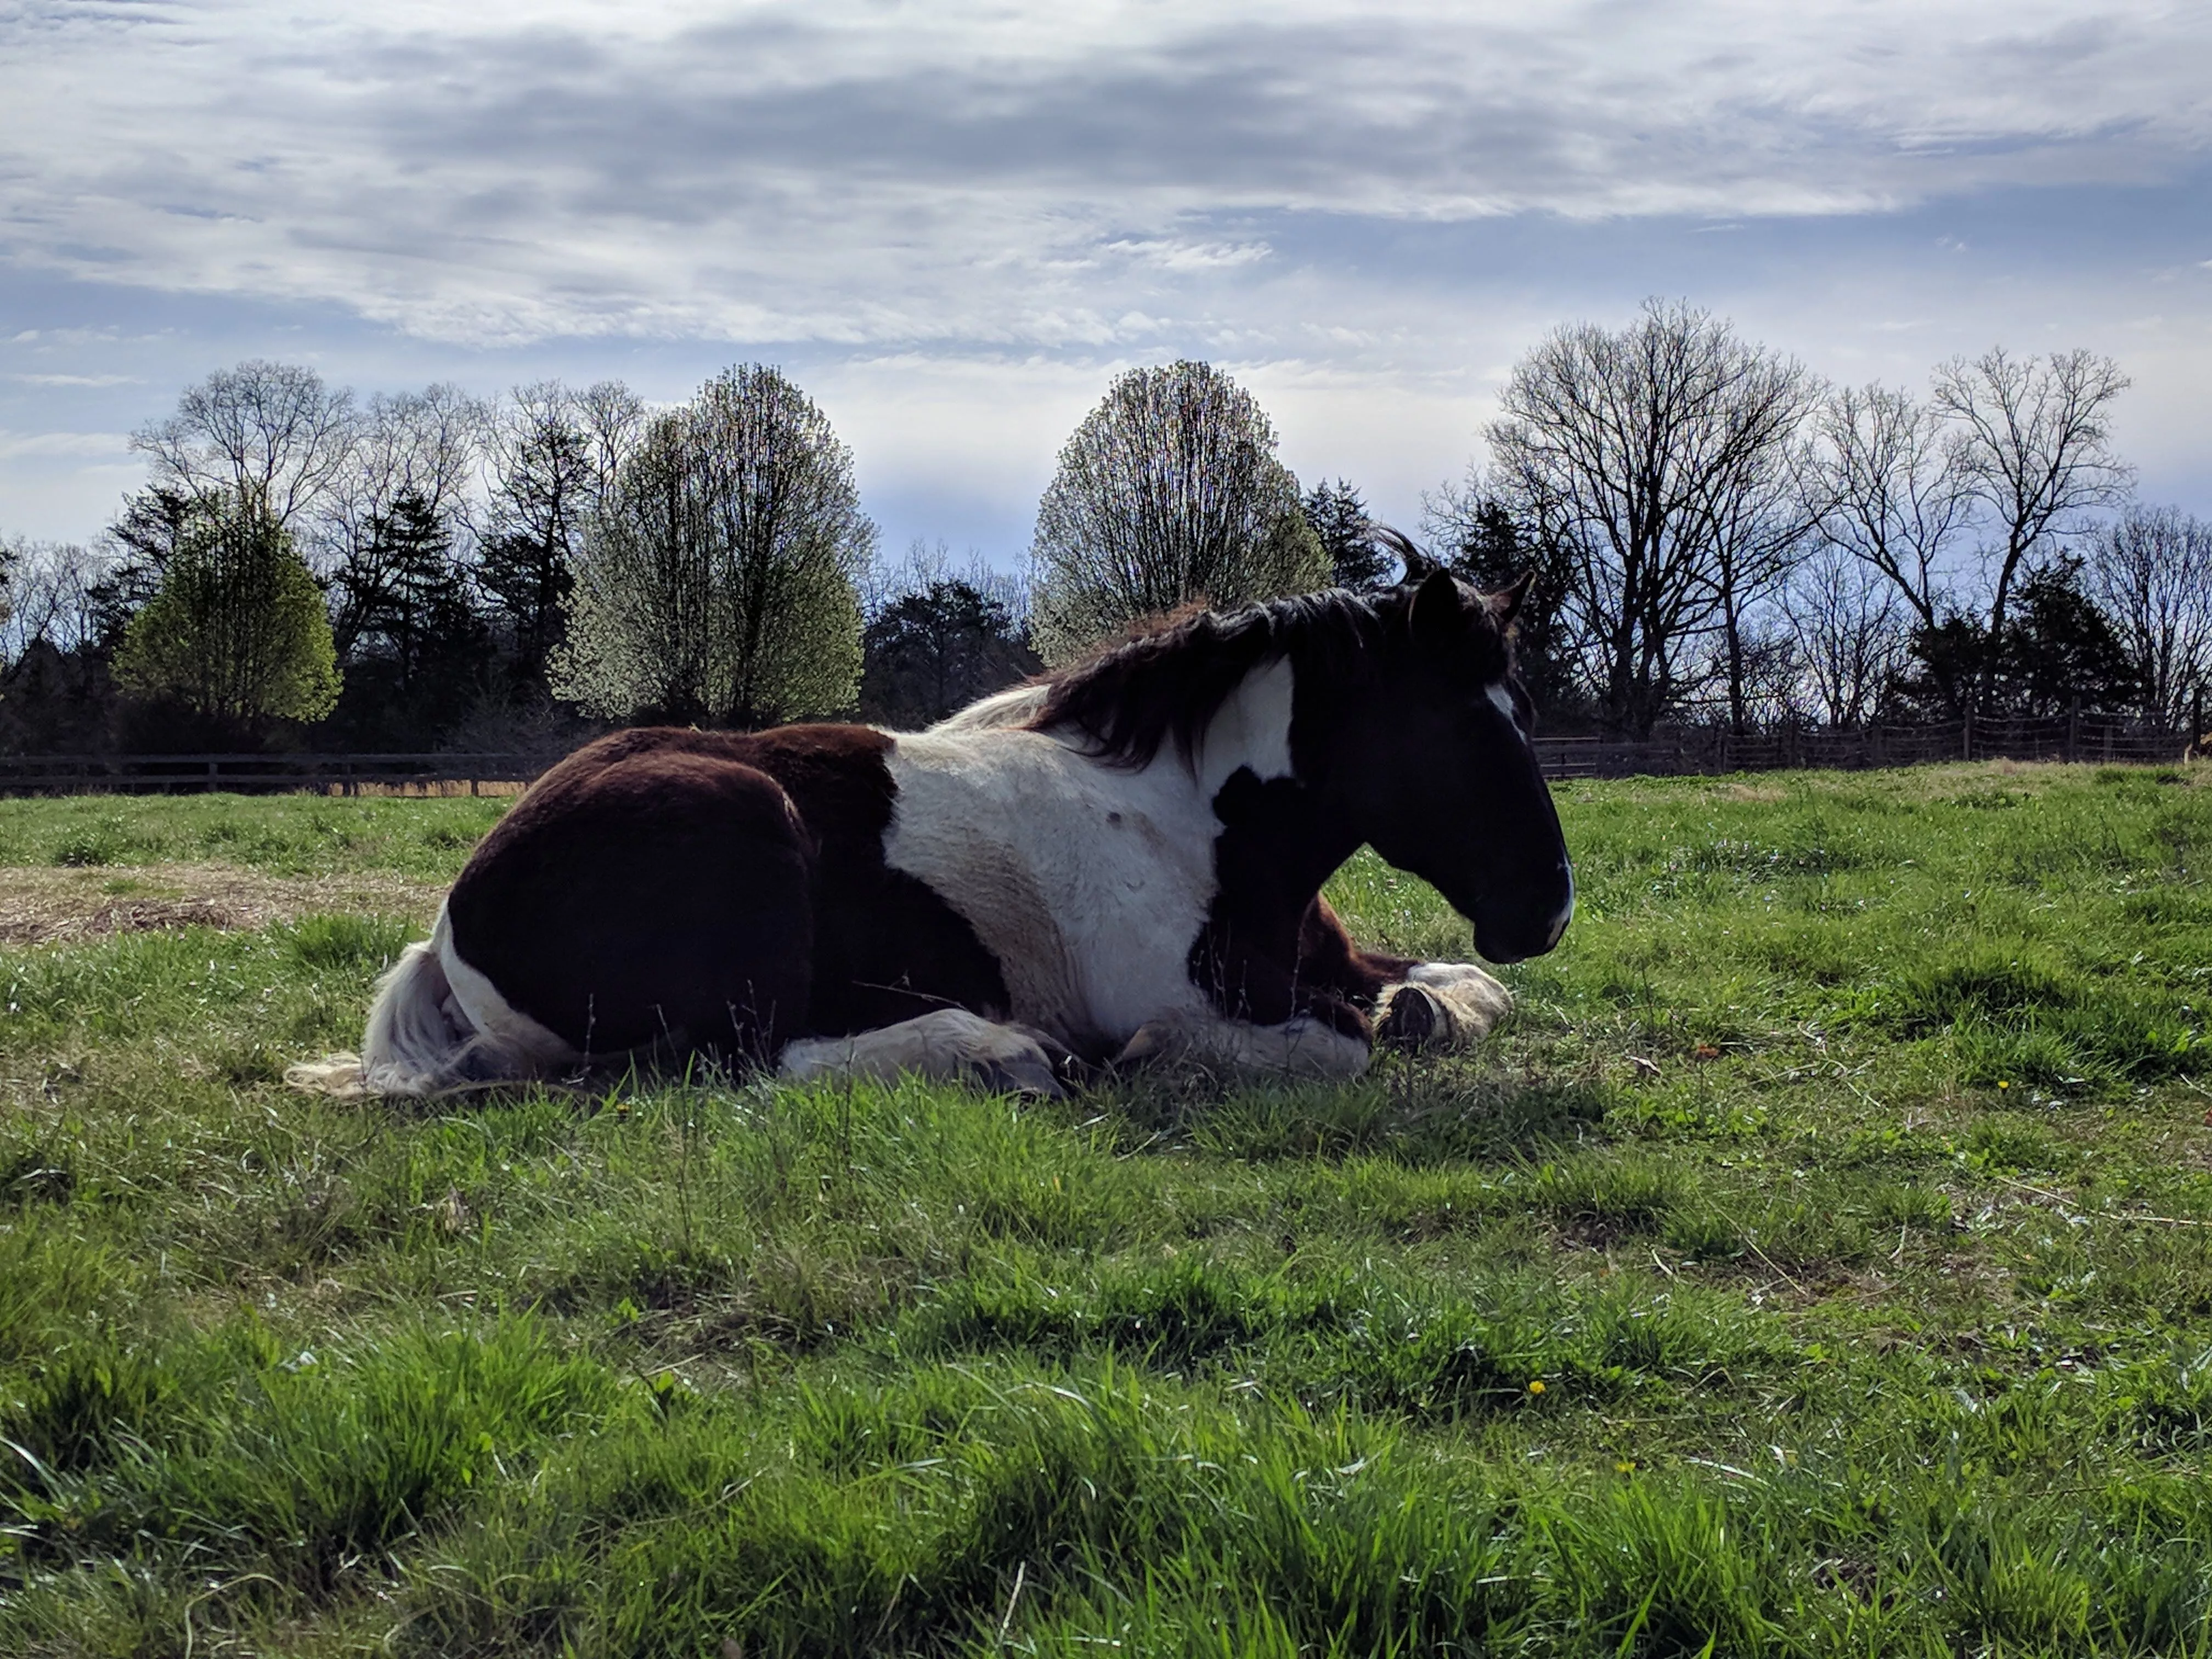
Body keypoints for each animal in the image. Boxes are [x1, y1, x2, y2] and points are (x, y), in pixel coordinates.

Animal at [290, 553, 1575, 1110]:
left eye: (1525, 710)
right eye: (1465, 725)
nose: (1547, 905)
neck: (1189, 828)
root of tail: (451, 924)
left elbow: (1453, 991)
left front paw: (1428, 1002)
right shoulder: (1199, 1000)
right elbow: (1339, 1042)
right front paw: (1148, 1056)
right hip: (740, 825)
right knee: (750, 1058)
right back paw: (1002, 1052)